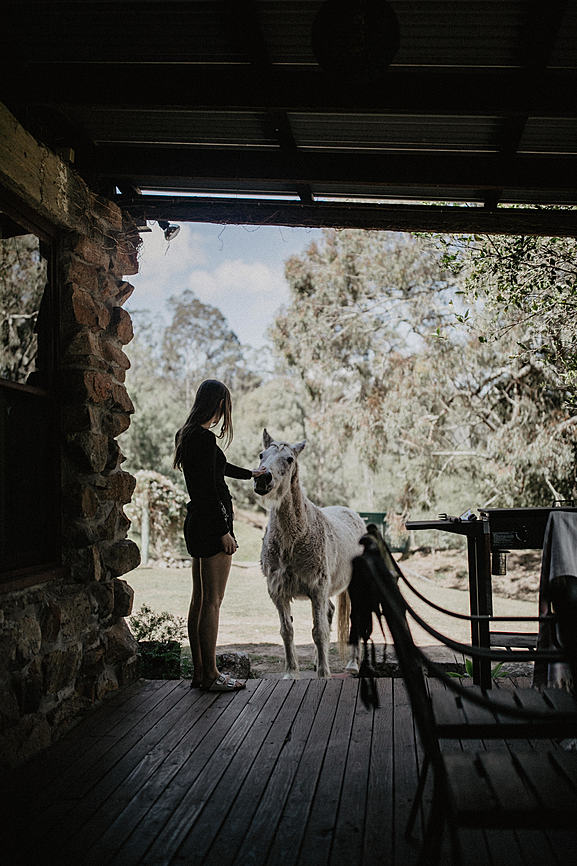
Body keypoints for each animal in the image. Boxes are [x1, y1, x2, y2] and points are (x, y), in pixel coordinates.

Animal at [253, 428, 362, 680]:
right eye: (262, 454)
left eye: (289, 459)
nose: (262, 479)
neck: (293, 541)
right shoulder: (278, 591)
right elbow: (287, 631)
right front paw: (291, 674)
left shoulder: (317, 589)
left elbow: (318, 631)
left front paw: (324, 674)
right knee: (329, 613)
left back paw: (352, 664)